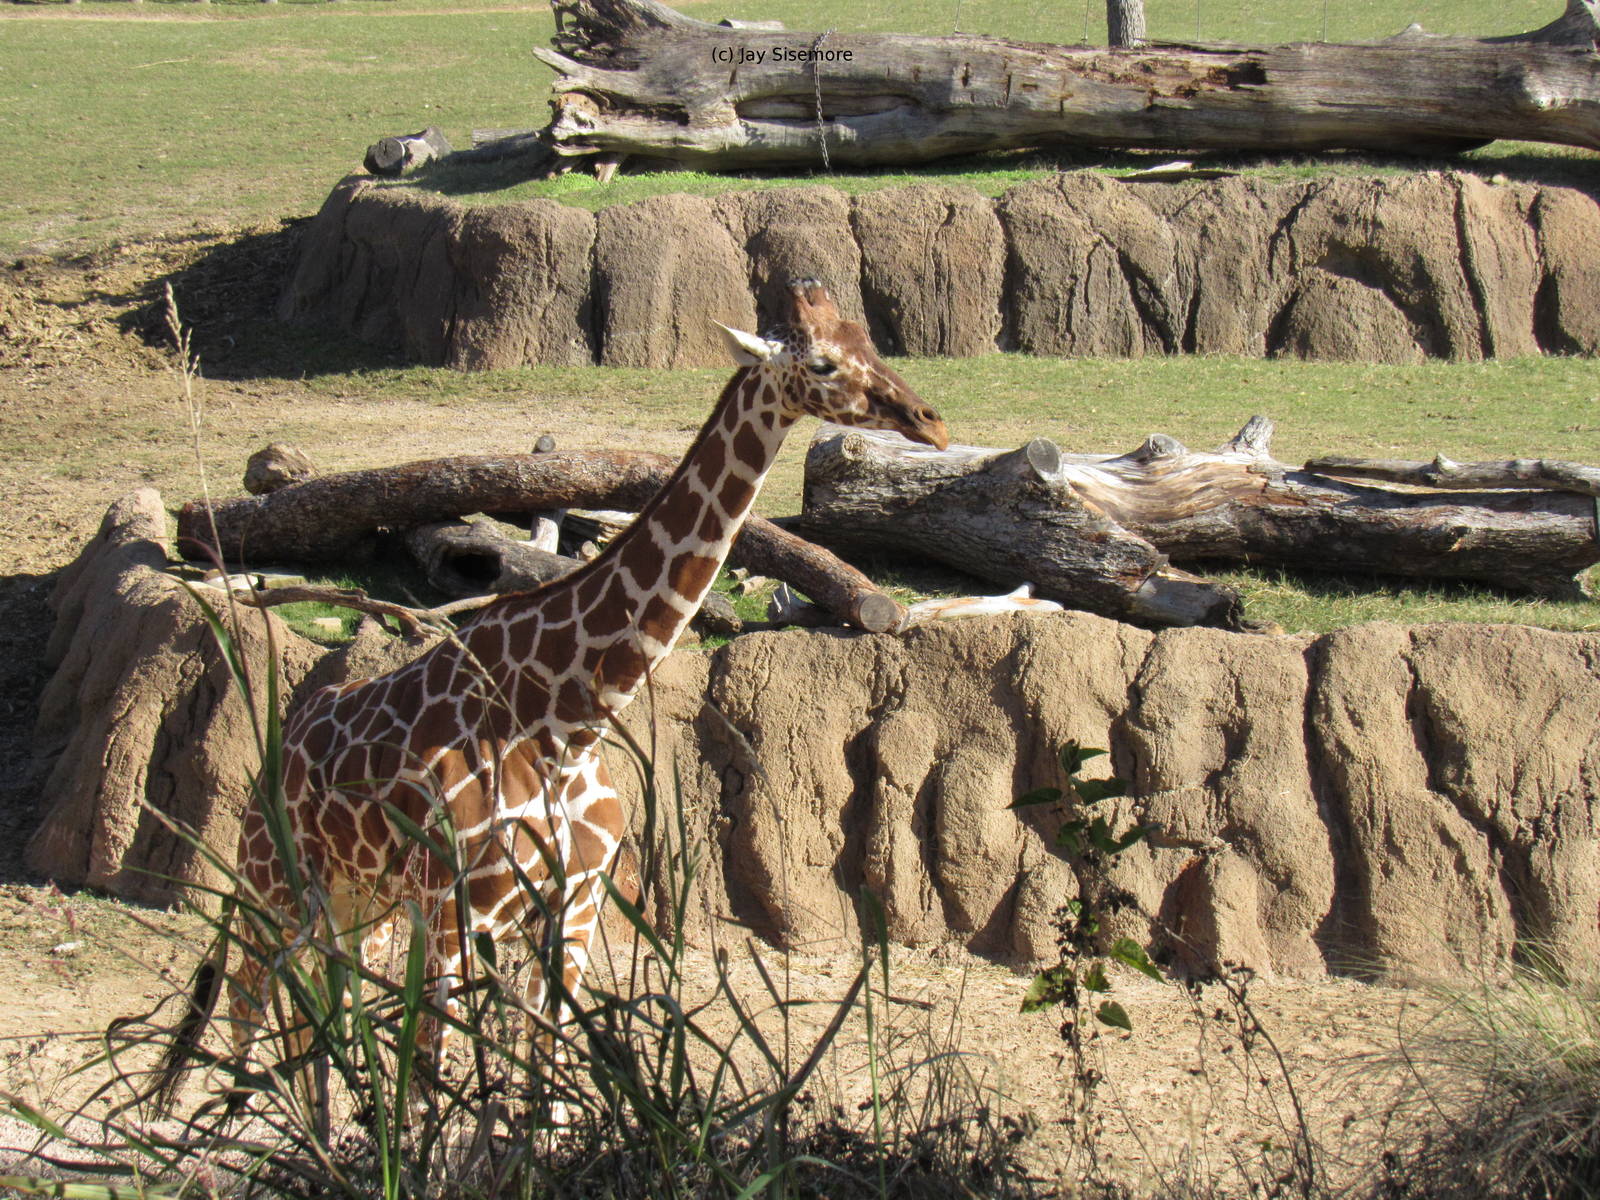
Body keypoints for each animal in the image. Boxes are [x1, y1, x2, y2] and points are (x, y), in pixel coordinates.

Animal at [153, 279, 948, 1117]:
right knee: (252, 1007)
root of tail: (277, 758)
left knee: (319, 1020)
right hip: (275, 886)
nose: (929, 420)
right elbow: (437, 1084)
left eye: (870, 340)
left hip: (356, 901)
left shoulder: (574, 904)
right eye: (823, 361)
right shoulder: (457, 907)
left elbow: (545, 1074)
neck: (565, 720)